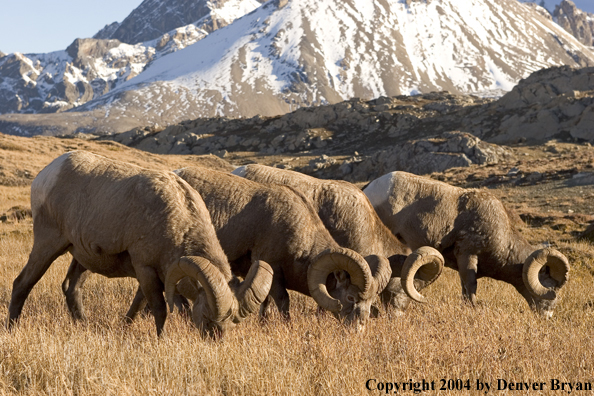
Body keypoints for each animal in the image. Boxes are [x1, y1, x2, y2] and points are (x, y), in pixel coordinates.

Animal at [6, 152, 270, 338]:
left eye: (233, 322)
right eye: (206, 316)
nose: (216, 340)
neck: (177, 218)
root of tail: (46, 174)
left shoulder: (152, 275)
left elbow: (139, 305)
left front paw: (125, 329)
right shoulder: (145, 269)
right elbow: (159, 309)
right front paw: (162, 340)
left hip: (82, 257)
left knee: (71, 288)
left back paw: (83, 326)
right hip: (48, 245)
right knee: (22, 284)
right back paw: (11, 329)